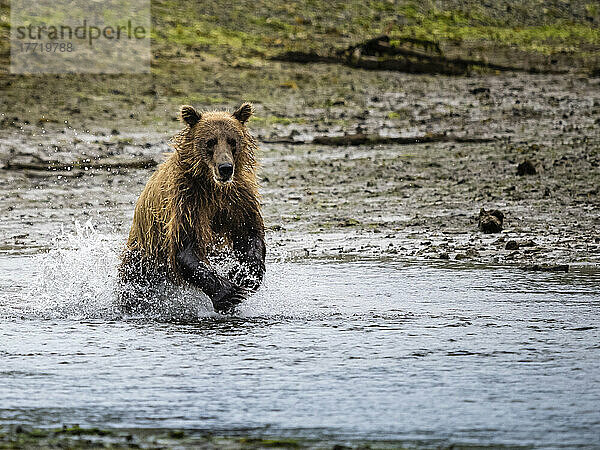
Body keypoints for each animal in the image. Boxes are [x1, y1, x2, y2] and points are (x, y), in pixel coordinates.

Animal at [117, 102, 264, 312]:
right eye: (210, 142)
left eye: (232, 141)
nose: (225, 168)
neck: (212, 186)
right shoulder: (187, 200)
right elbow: (185, 247)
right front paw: (231, 293)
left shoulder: (238, 198)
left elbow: (249, 233)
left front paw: (242, 275)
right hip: (142, 257)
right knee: (133, 287)